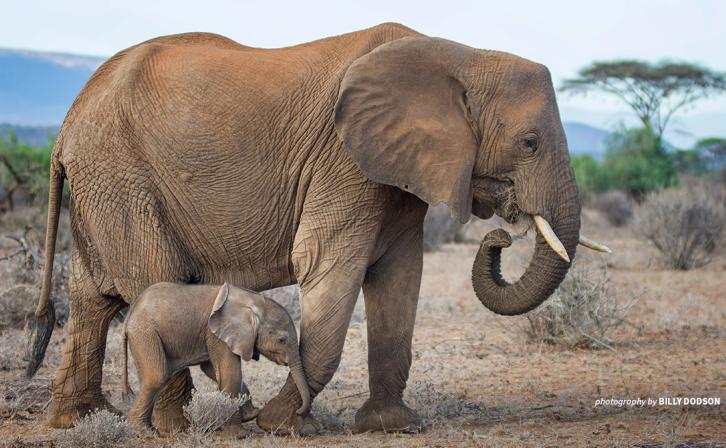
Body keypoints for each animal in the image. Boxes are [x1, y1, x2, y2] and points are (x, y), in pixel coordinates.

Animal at [122, 282, 310, 432]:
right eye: (282, 340)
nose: (299, 411)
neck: (251, 300)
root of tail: (129, 315)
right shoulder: (216, 334)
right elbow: (230, 373)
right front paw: (238, 434)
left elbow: (213, 370)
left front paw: (250, 415)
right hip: (145, 334)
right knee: (157, 376)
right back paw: (145, 432)